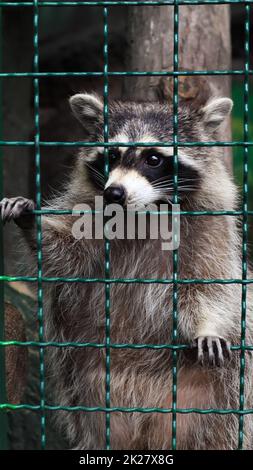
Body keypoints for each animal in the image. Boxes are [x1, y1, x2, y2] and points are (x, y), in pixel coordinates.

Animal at [1, 93, 253, 450]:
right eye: (112, 155)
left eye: (153, 158)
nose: (114, 193)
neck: (145, 212)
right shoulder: (89, 215)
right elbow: (66, 254)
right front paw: (32, 222)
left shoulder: (212, 227)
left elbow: (212, 283)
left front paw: (208, 326)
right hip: (91, 395)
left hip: (216, 402)